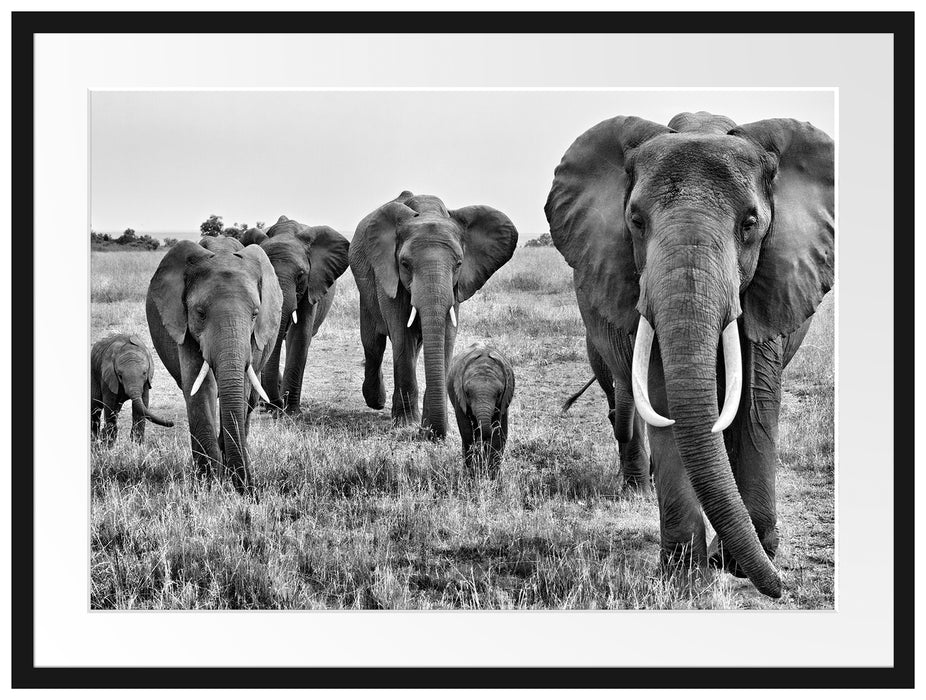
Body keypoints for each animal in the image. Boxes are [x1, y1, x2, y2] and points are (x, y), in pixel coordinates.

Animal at [145, 241, 280, 492]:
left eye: (255, 314)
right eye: (200, 313)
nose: (251, 491)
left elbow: (241, 390)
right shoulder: (184, 327)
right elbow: (200, 388)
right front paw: (208, 485)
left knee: (248, 402)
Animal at [448, 344, 520, 478]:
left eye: (499, 393)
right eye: (467, 393)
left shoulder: (503, 402)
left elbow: (500, 434)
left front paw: (492, 476)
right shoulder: (459, 397)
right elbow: (467, 433)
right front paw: (473, 475)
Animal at [548, 112, 836, 600]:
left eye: (750, 223)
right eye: (636, 221)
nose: (781, 589)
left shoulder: (771, 282)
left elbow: (756, 402)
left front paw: (739, 565)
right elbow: (665, 400)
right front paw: (685, 579)